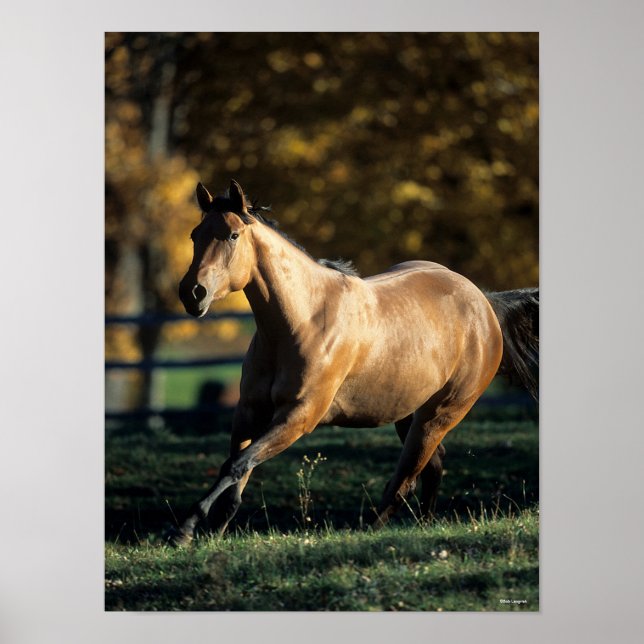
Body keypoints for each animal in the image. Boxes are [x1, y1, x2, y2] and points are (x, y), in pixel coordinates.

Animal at [171, 179, 538, 545]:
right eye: (195, 234)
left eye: (233, 235)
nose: (192, 293)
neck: (303, 321)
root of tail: (483, 302)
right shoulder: (249, 410)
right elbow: (237, 467)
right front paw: (214, 528)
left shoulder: (299, 416)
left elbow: (237, 464)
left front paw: (186, 527)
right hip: (408, 415)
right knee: (430, 467)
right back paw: (423, 524)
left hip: (439, 416)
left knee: (405, 479)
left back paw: (368, 530)